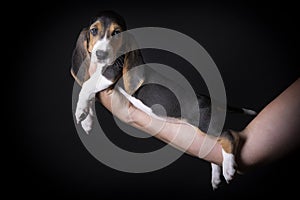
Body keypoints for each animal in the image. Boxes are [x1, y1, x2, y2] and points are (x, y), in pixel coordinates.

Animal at [70, 10, 255, 190]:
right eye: (94, 30)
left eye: (117, 33)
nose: (101, 54)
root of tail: (207, 98)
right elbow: (88, 90)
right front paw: (86, 120)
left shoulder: (111, 72)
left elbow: (87, 86)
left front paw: (80, 111)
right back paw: (216, 176)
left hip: (205, 123)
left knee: (230, 135)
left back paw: (229, 168)